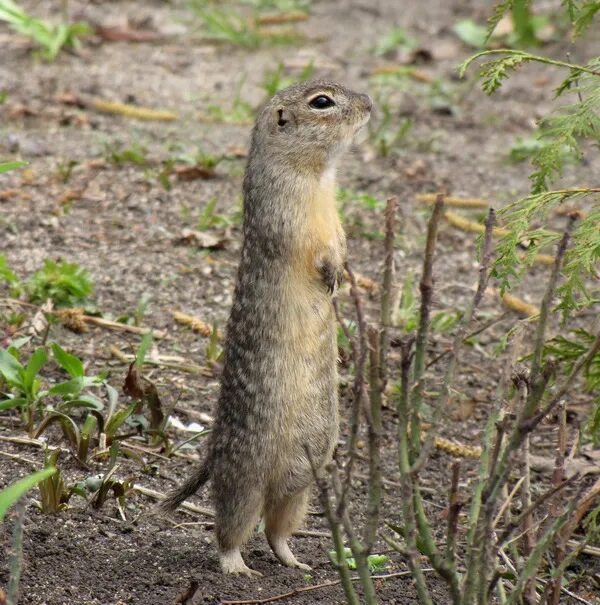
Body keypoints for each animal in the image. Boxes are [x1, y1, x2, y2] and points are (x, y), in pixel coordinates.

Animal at [159, 80, 376, 576]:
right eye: (322, 102)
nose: (370, 105)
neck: (317, 176)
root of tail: (214, 451)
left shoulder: (334, 215)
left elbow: (342, 239)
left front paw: (343, 272)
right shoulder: (288, 214)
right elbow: (313, 248)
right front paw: (332, 273)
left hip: (300, 490)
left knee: (277, 530)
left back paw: (295, 562)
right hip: (245, 482)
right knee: (229, 530)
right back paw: (237, 567)